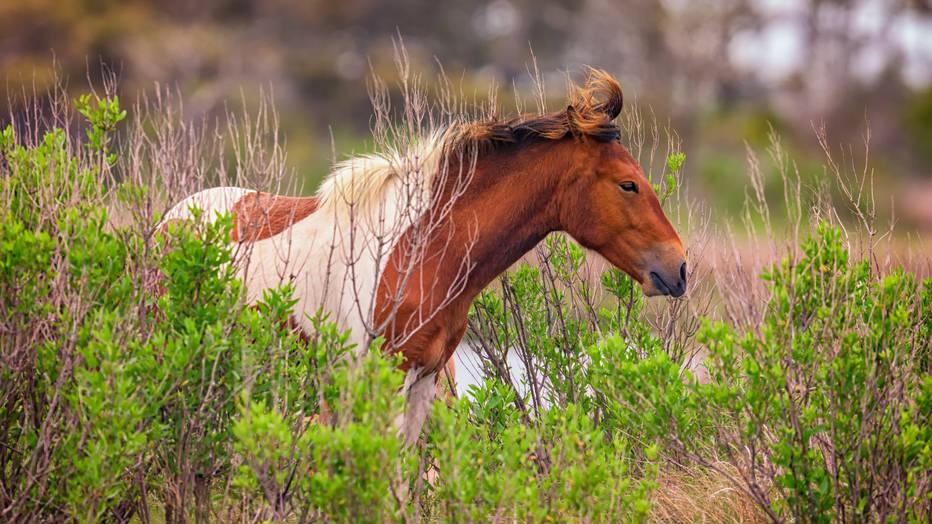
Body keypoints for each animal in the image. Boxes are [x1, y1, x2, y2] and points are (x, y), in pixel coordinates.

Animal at [158, 69, 684, 442]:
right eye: (628, 184)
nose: (678, 267)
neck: (423, 249)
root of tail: (173, 218)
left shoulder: (425, 383)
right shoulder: (384, 380)